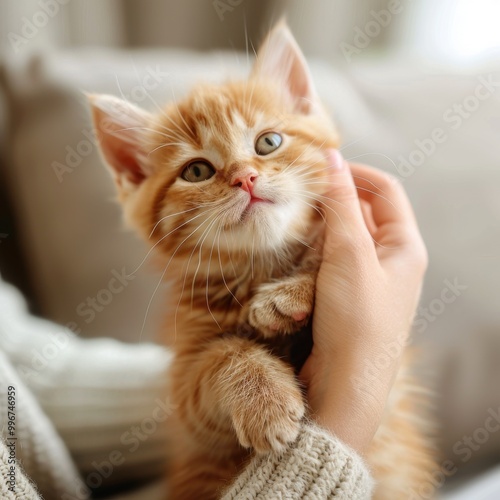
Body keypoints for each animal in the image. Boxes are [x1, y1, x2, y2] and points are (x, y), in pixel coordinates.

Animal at [89, 21, 434, 498]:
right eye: (196, 171)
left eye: (268, 142)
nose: (245, 178)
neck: (261, 265)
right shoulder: (188, 398)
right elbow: (224, 357)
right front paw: (265, 404)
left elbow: (320, 260)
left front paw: (285, 297)